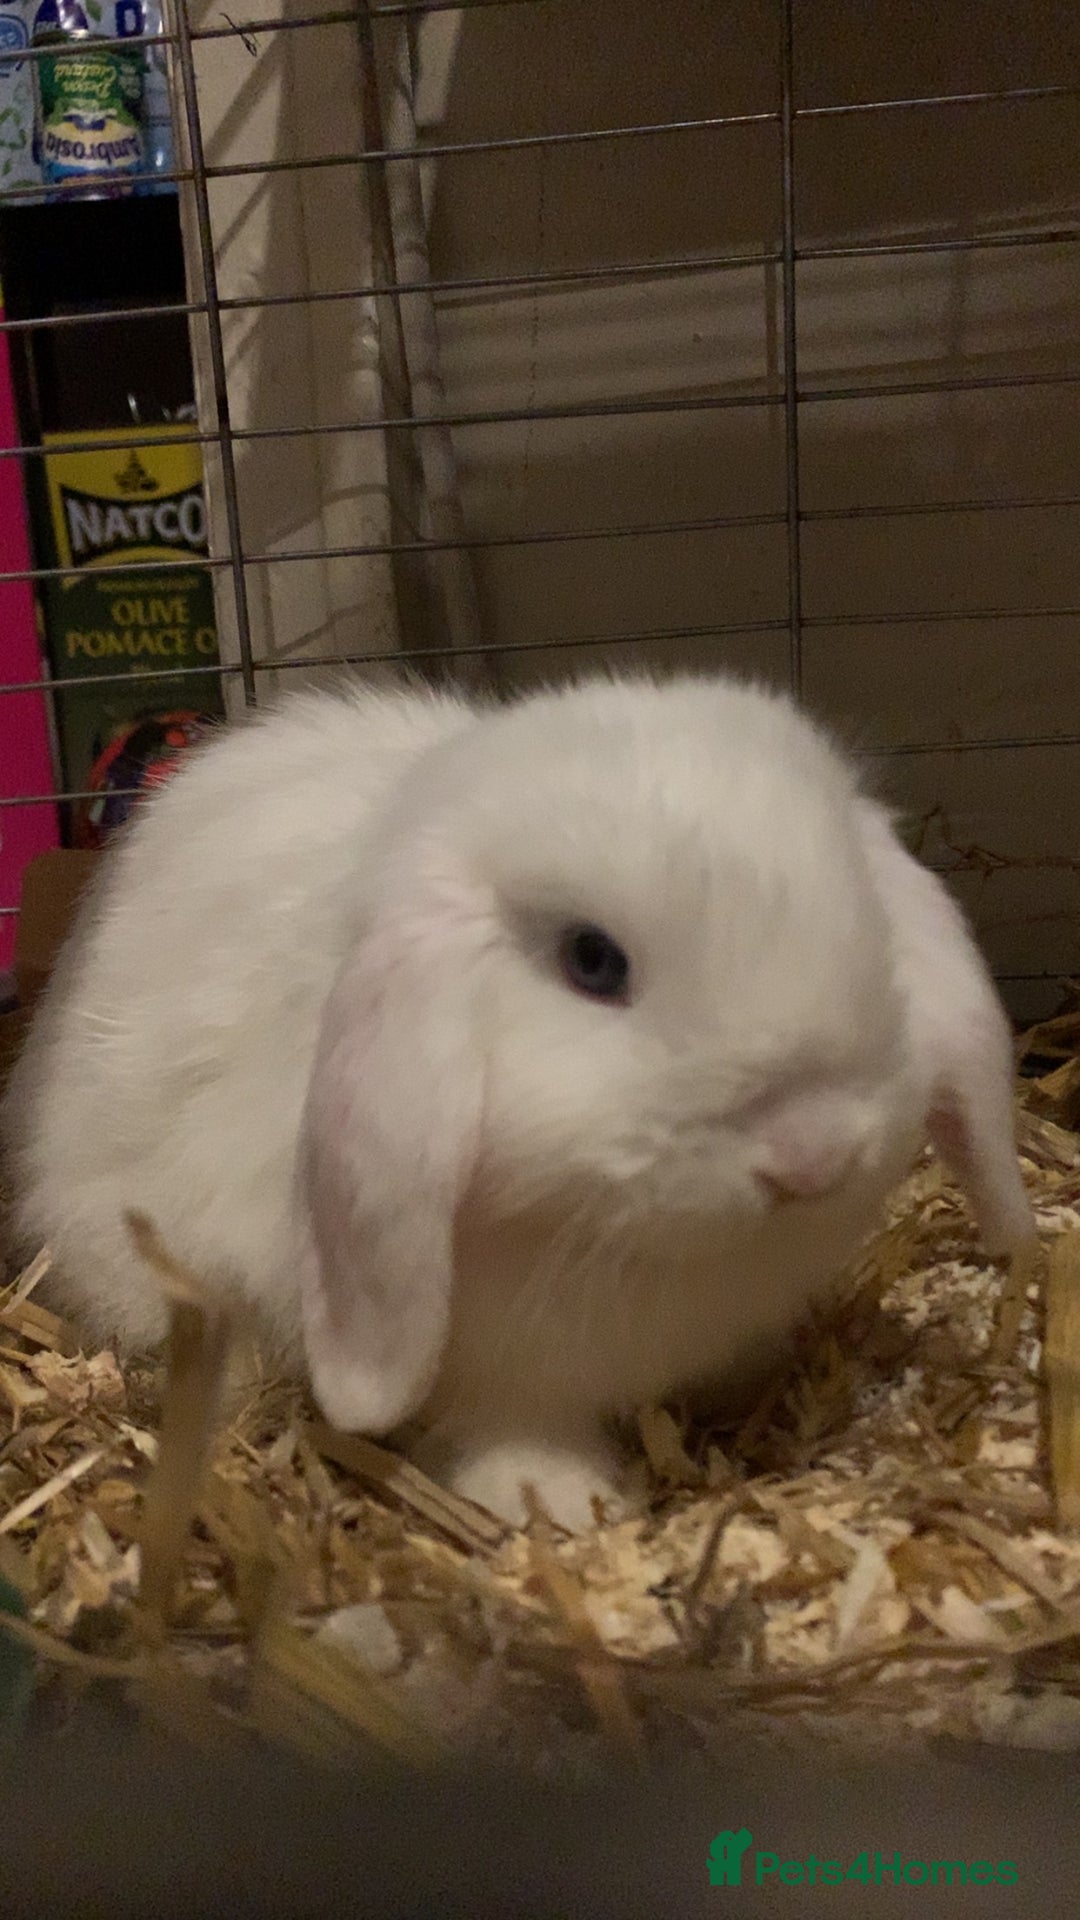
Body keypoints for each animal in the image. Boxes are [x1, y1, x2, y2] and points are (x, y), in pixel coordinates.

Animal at [1, 672, 1035, 1530]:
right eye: (593, 960)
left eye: (864, 916)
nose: (813, 1153)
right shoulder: (493, 1370)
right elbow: (511, 1422)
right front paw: (557, 1499)